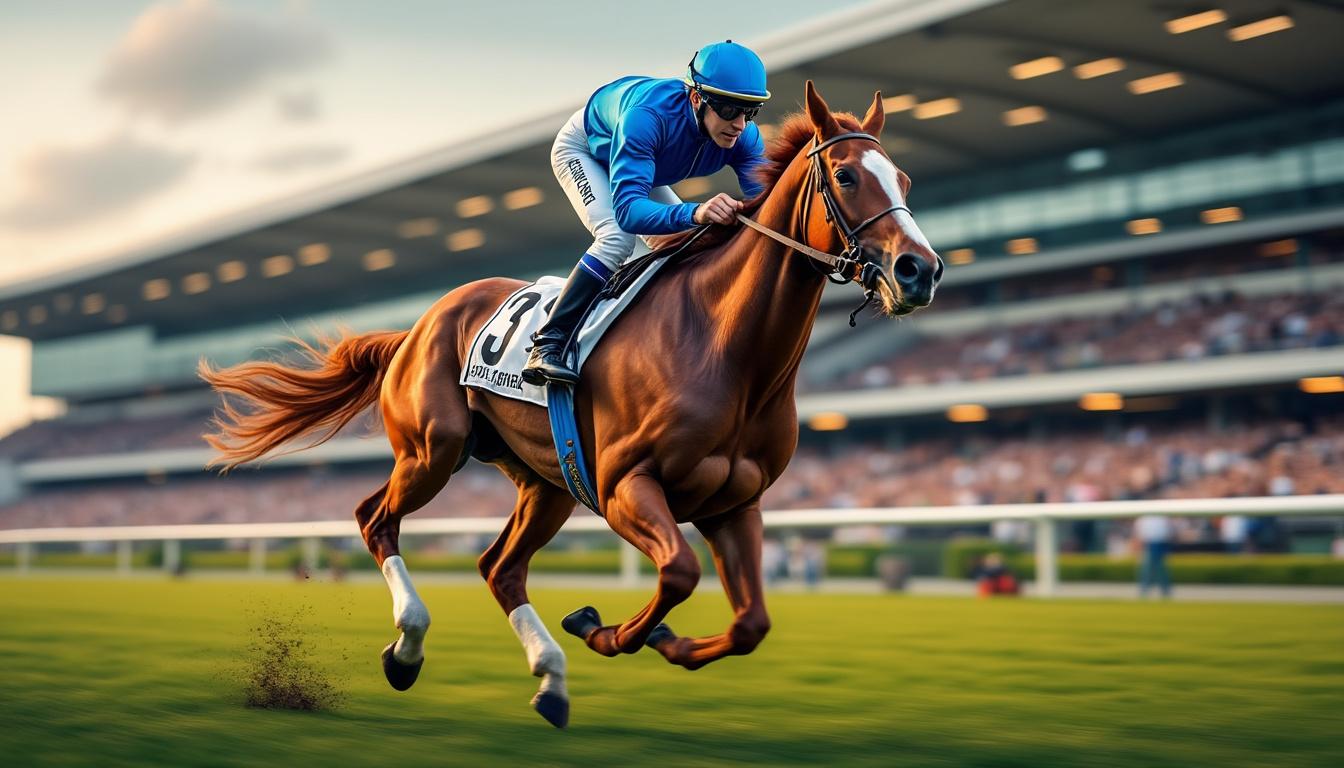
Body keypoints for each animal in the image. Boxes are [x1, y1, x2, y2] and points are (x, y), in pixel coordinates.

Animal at [200, 81, 942, 729]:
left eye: (904, 180)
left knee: (499, 567)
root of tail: (415, 325)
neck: (725, 347)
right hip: (434, 448)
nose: (920, 271)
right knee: (374, 518)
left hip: (546, 481)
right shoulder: (623, 486)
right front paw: (603, 628)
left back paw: (550, 680)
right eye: (845, 177)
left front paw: (656, 641)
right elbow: (678, 571)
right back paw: (408, 647)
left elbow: (750, 624)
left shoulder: (735, 504)